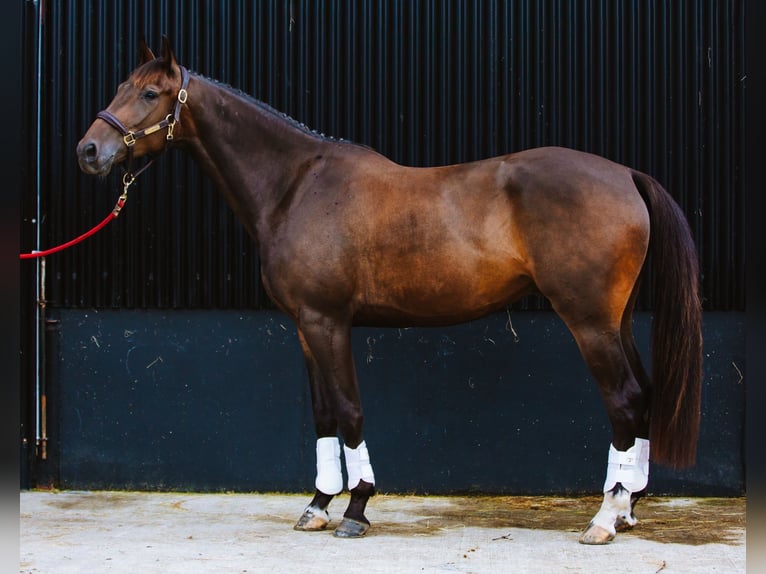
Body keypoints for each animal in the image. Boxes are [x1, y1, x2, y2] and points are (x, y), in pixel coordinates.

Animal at [76, 37, 702, 544]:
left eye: (151, 92)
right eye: (120, 87)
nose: (89, 151)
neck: (296, 185)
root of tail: (625, 175)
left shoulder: (328, 321)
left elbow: (349, 409)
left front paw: (355, 508)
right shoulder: (304, 326)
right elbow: (322, 415)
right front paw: (318, 505)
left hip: (589, 322)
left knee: (625, 401)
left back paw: (605, 518)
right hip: (616, 321)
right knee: (644, 396)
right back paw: (628, 508)